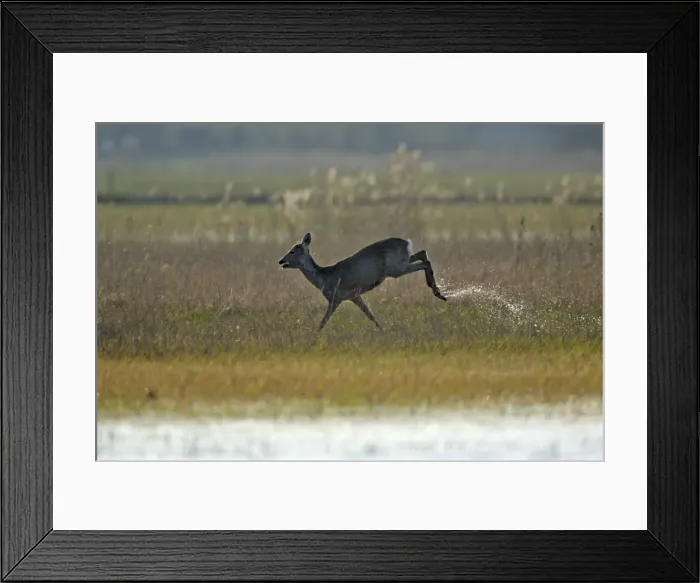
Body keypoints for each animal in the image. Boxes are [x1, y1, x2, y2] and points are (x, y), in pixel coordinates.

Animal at [278, 232, 447, 332]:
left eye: (292, 251)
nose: (281, 261)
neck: (323, 279)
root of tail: (406, 243)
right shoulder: (355, 296)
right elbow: (370, 314)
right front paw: (382, 330)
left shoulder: (335, 297)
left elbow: (323, 321)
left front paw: (315, 337)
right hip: (402, 262)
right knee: (423, 253)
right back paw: (439, 292)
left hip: (395, 269)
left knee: (425, 262)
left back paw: (438, 292)